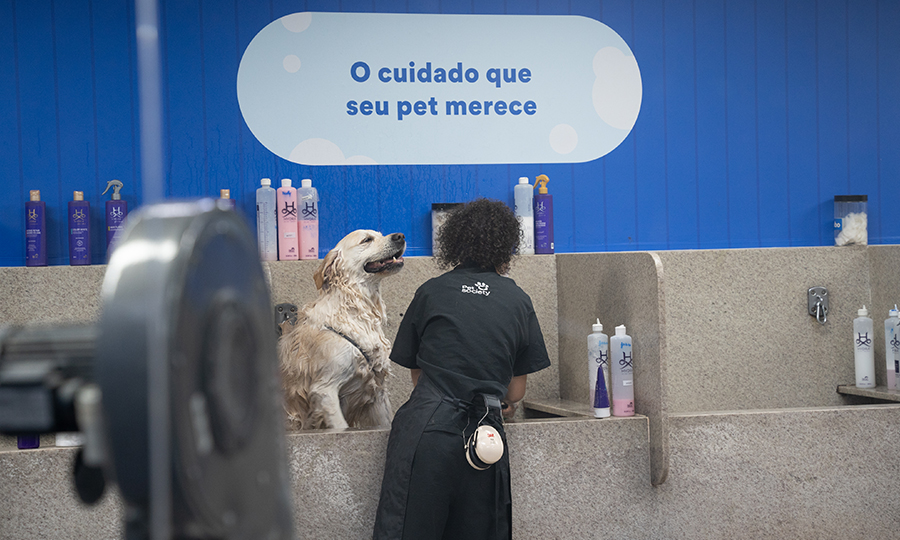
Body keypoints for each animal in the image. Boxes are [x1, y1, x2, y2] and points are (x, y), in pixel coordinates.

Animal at [280, 229, 406, 430]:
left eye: (380, 234)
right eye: (367, 239)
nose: (400, 236)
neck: (358, 311)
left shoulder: (377, 392)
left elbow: (386, 424)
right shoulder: (325, 389)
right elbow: (340, 425)